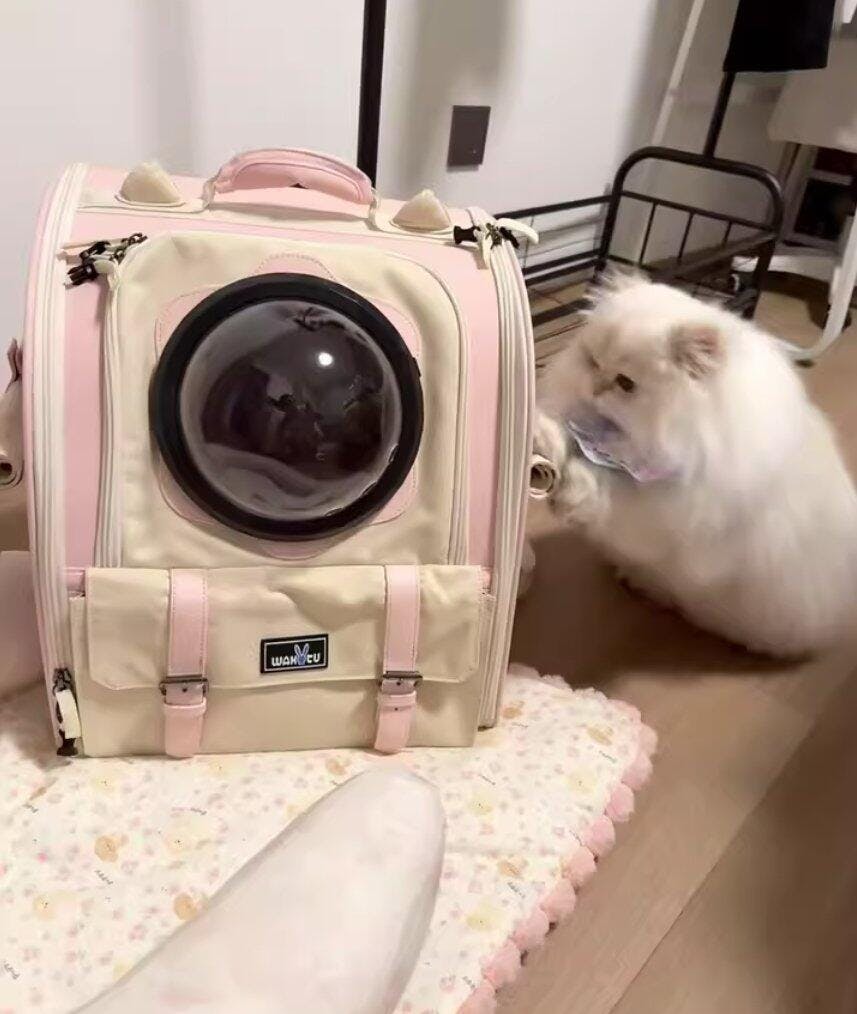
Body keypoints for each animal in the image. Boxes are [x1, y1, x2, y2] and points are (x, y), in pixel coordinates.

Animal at [533, 274, 857, 656]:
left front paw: (572, 491)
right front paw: (543, 439)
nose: (596, 387)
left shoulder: (664, 515)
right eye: (593, 362)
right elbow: (566, 441)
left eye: (626, 384)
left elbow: (602, 495)